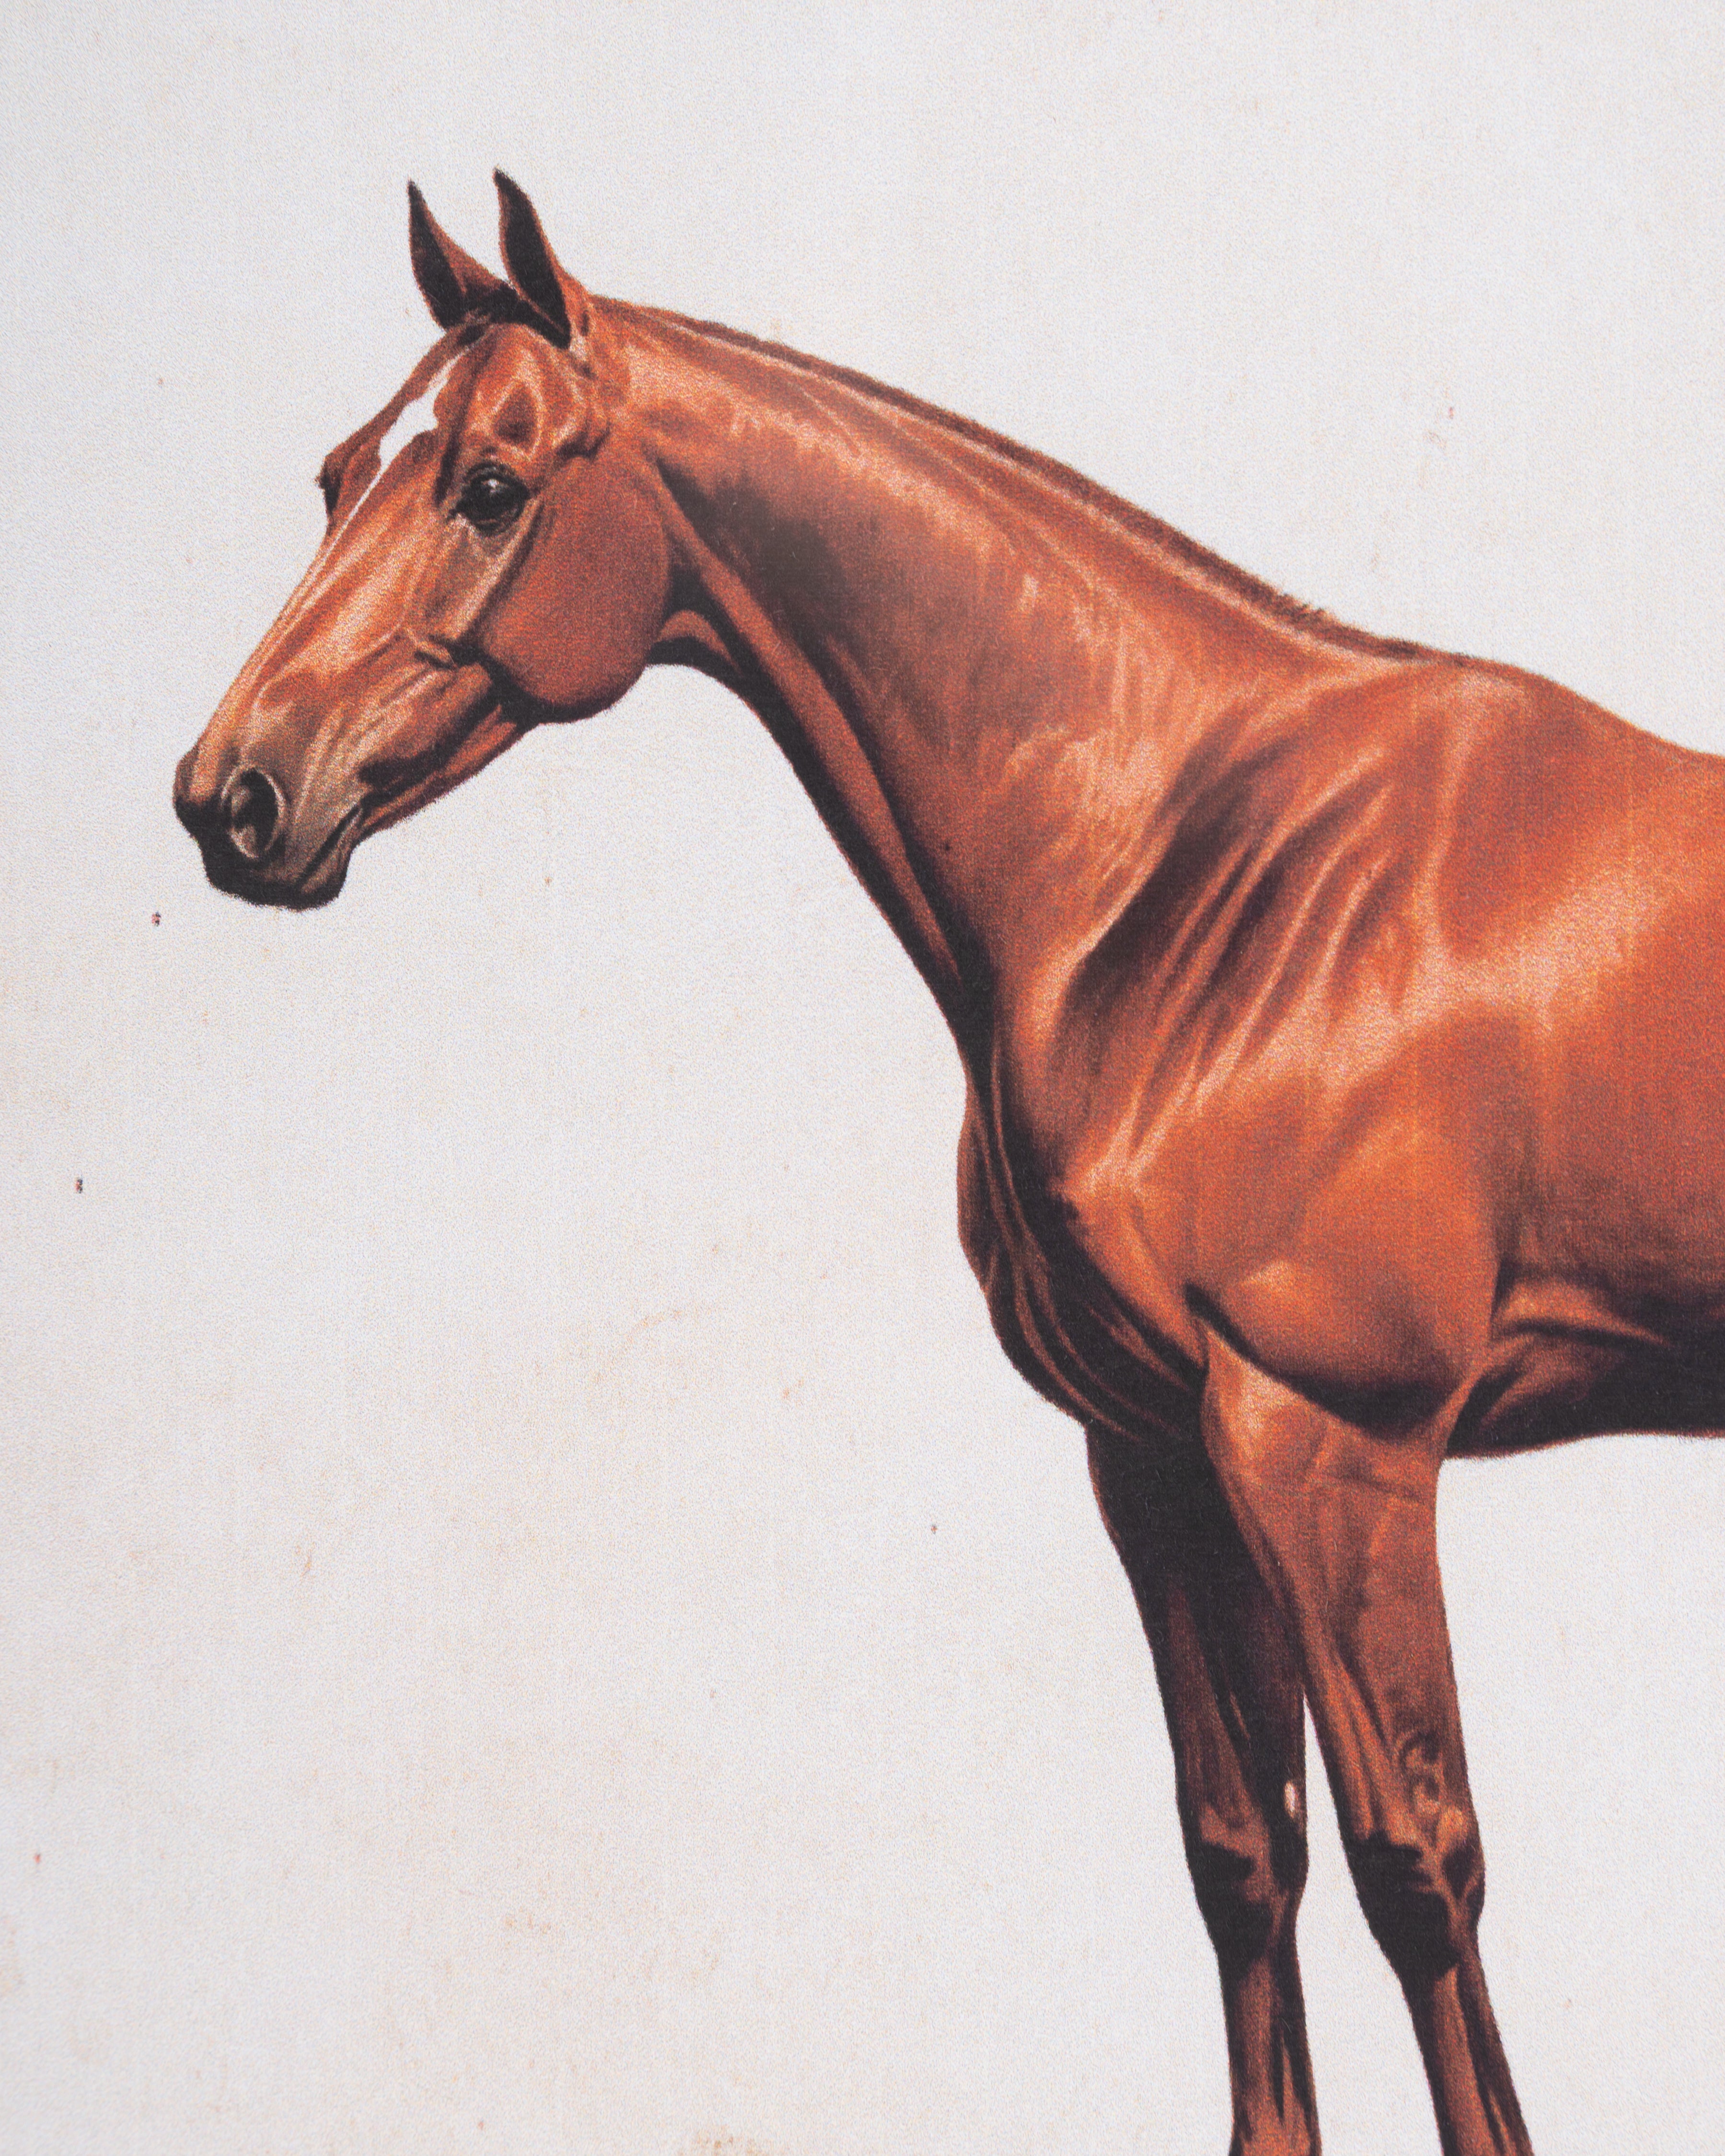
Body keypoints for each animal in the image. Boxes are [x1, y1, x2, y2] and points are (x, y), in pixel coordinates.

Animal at [173, 174, 1725, 2156]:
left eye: (494, 483)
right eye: (334, 473)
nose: (233, 796)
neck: (1183, 867)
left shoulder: (1337, 1446)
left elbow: (1417, 1868)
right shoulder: (1159, 1454)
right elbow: (1245, 1855)